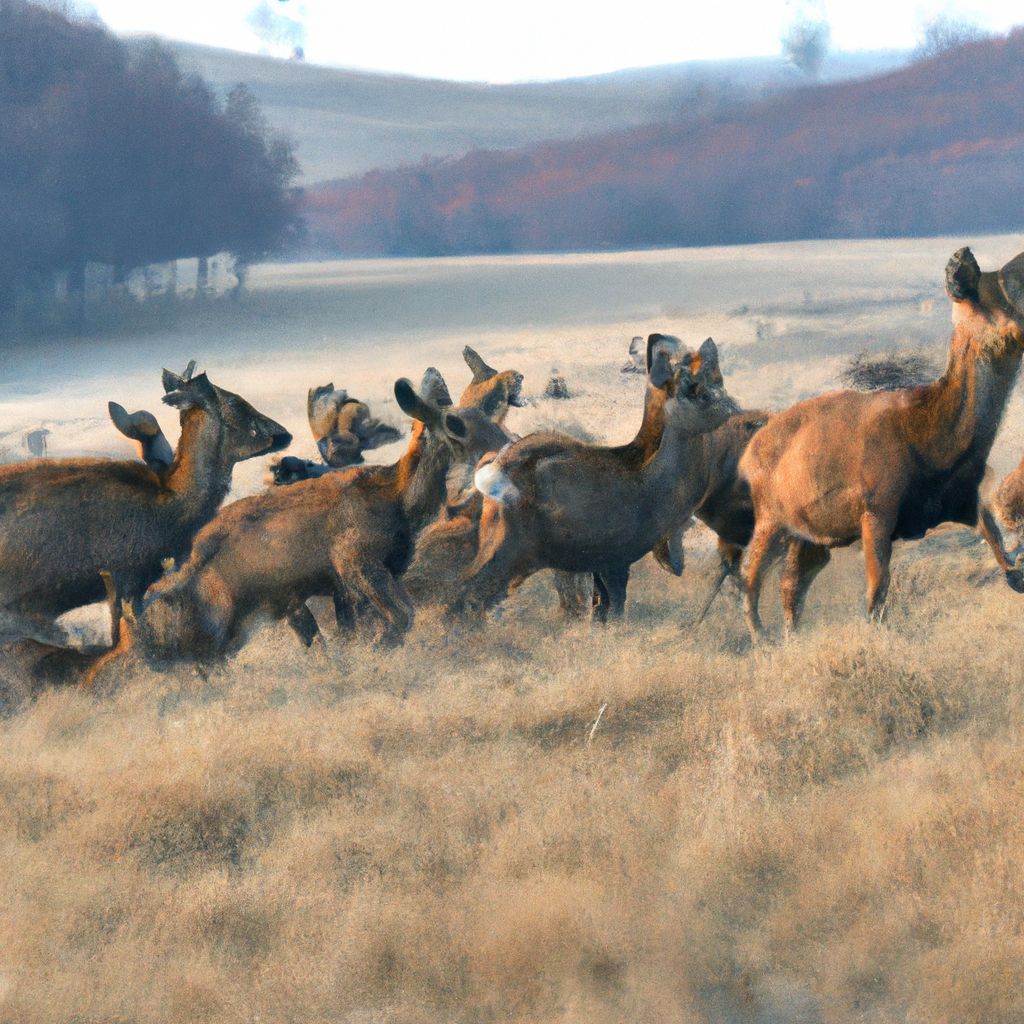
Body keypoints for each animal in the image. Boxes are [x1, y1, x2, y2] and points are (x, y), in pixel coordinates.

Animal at [96, 368, 512, 671]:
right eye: (456, 425)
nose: (506, 447)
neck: (398, 498)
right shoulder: (352, 560)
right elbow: (400, 616)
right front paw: (374, 656)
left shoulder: (352, 582)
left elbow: (363, 629)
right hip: (217, 620)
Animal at [737, 245, 1024, 638]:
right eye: (990, 298)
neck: (932, 438)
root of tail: (749, 451)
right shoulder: (877, 511)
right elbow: (877, 593)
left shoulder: (965, 502)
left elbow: (1000, 549)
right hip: (770, 519)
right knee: (750, 577)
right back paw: (761, 639)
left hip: (809, 537)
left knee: (791, 584)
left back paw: (790, 637)